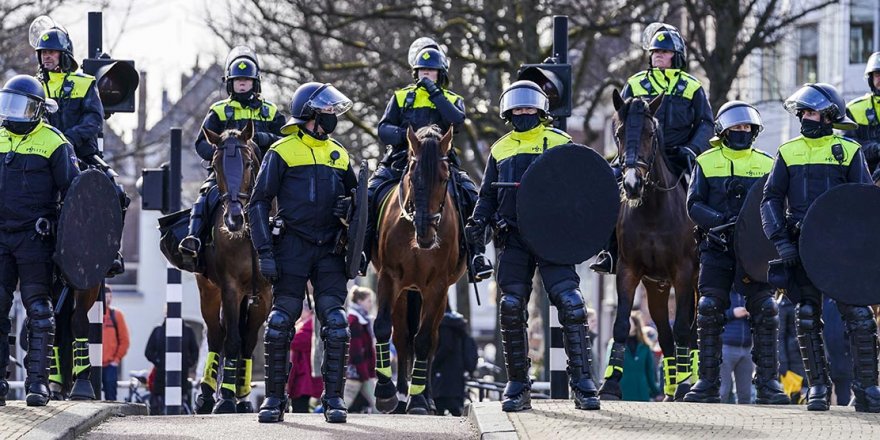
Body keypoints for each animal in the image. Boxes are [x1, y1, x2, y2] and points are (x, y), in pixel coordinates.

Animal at [193, 123, 270, 412]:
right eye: (216, 166)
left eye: (248, 163)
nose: (233, 219)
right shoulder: (230, 288)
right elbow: (233, 340)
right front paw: (225, 398)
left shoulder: (266, 295)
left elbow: (248, 341)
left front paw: (242, 396)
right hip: (209, 291)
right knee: (216, 335)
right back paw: (206, 396)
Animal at [372, 125, 468, 414]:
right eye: (413, 177)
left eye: (444, 178)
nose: (426, 234)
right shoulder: (389, 277)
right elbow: (383, 327)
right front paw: (386, 393)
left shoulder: (437, 286)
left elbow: (424, 340)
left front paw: (418, 400)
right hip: (406, 291)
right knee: (403, 337)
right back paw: (402, 393)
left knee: (431, 340)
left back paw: (425, 398)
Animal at [600, 93, 700, 402]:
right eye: (619, 133)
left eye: (650, 133)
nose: (632, 184)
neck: (653, 210)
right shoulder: (628, 270)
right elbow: (621, 324)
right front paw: (609, 385)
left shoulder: (684, 272)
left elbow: (683, 329)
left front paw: (685, 385)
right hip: (656, 287)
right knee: (664, 331)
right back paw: (670, 387)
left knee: (692, 329)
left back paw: (691, 382)